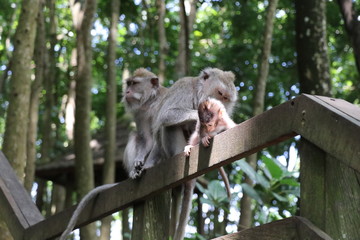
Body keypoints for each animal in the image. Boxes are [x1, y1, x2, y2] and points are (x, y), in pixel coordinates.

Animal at [142, 67, 238, 240]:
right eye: (220, 93)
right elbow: (167, 114)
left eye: (226, 98)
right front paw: (200, 116)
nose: (221, 105)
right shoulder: (184, 89)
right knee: (169, 126)